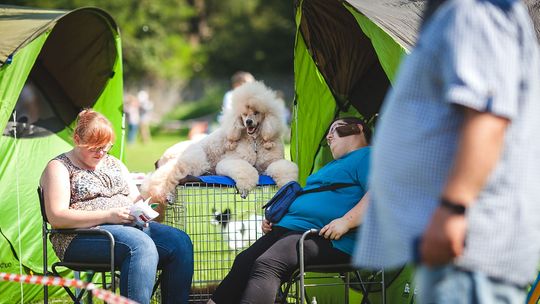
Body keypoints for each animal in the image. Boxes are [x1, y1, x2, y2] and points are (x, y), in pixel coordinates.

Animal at [141, 82, 298, 203]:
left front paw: (287, 186)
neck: (255, 141)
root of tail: (163, 155)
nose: (248, 122)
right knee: (168, 174)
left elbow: (284, 168)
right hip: (195, 157)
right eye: (243, 114)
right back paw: (165, 193)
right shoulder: (230, 161)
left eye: (256, 112)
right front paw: (244, 189)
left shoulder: (273, 161)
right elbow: (245, 170)